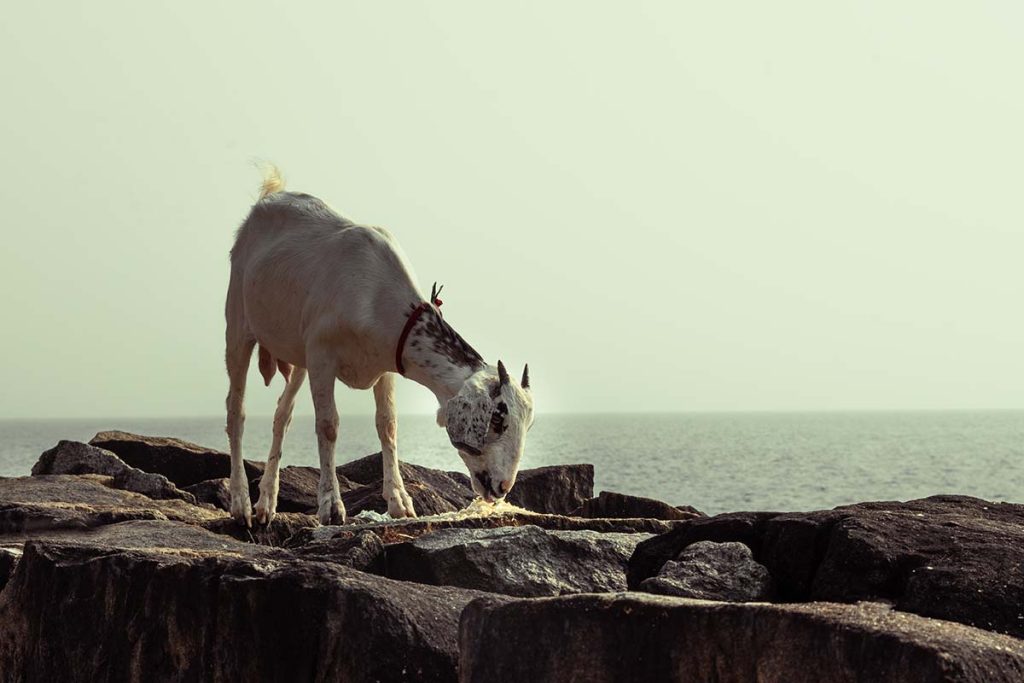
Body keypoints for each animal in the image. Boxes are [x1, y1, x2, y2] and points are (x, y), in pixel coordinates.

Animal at [225, 167, 536, 528]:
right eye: (498, 419)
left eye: (528, 424)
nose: (502, 487)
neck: (376, 294)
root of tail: (269, 196)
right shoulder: (321, 355)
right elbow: (328, 425)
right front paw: (331, 506)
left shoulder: (387, 362)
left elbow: (387, 424)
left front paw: (400, 502)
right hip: (238, 320)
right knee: (236, 410)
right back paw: (241, 503)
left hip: (295, 349)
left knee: (281, 415)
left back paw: (266, 505)